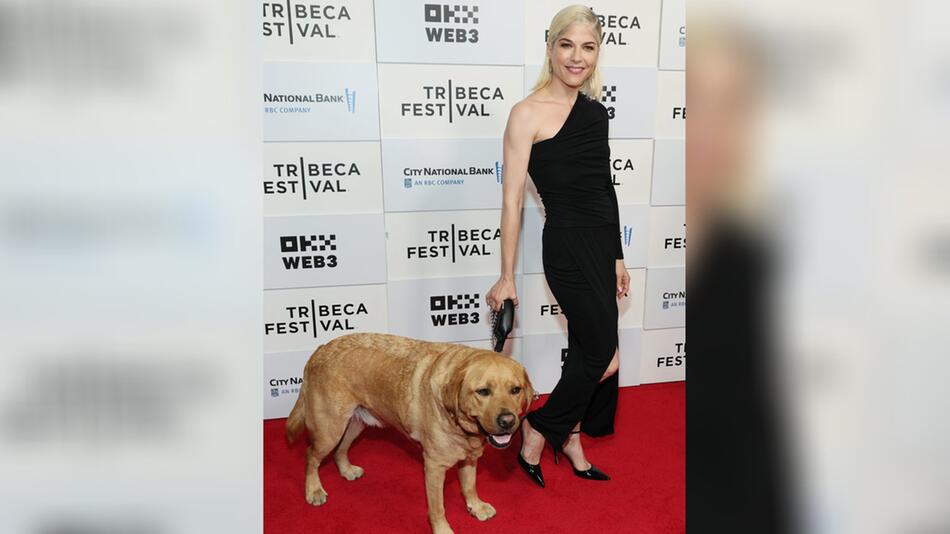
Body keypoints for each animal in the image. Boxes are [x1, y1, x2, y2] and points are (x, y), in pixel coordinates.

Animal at [282, 332, 536, 532]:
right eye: (483, 391)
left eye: (516, 390)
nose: (508, 421)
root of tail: (320, 349)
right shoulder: (433, 467)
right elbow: (438, 508)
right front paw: (442, 529)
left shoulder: (469, 458)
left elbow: (469, 486)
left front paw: (476, 505)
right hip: (329, 429)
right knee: (311, 455)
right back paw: (313, 490)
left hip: (354, 424)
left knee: (340, 450)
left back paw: (346, 469)